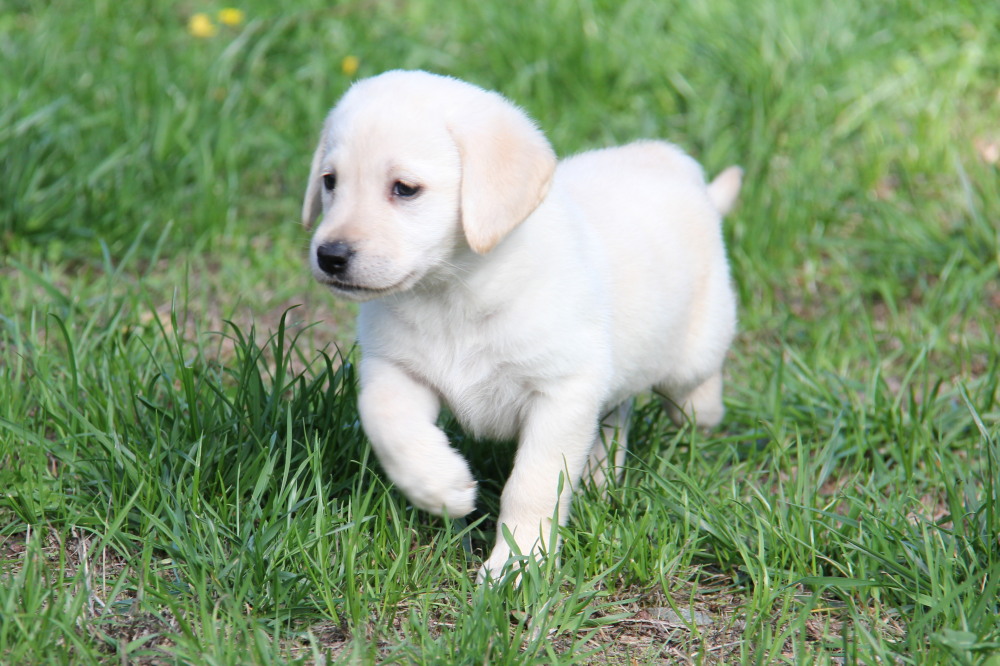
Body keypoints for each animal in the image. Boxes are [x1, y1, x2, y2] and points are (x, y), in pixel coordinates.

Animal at [304, 68, 744, 580]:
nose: (330, 256)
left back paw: (698, 412)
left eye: (405, 188)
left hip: (693, 351)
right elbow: (385, 421)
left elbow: (531, 484)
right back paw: (598, 478)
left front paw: (517, 564)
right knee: (616, 413)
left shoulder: (561, 391)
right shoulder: (394, 368)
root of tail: (681, 170)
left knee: (693, 387)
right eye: (330, 181)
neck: (454, 291)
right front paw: (441, 486)